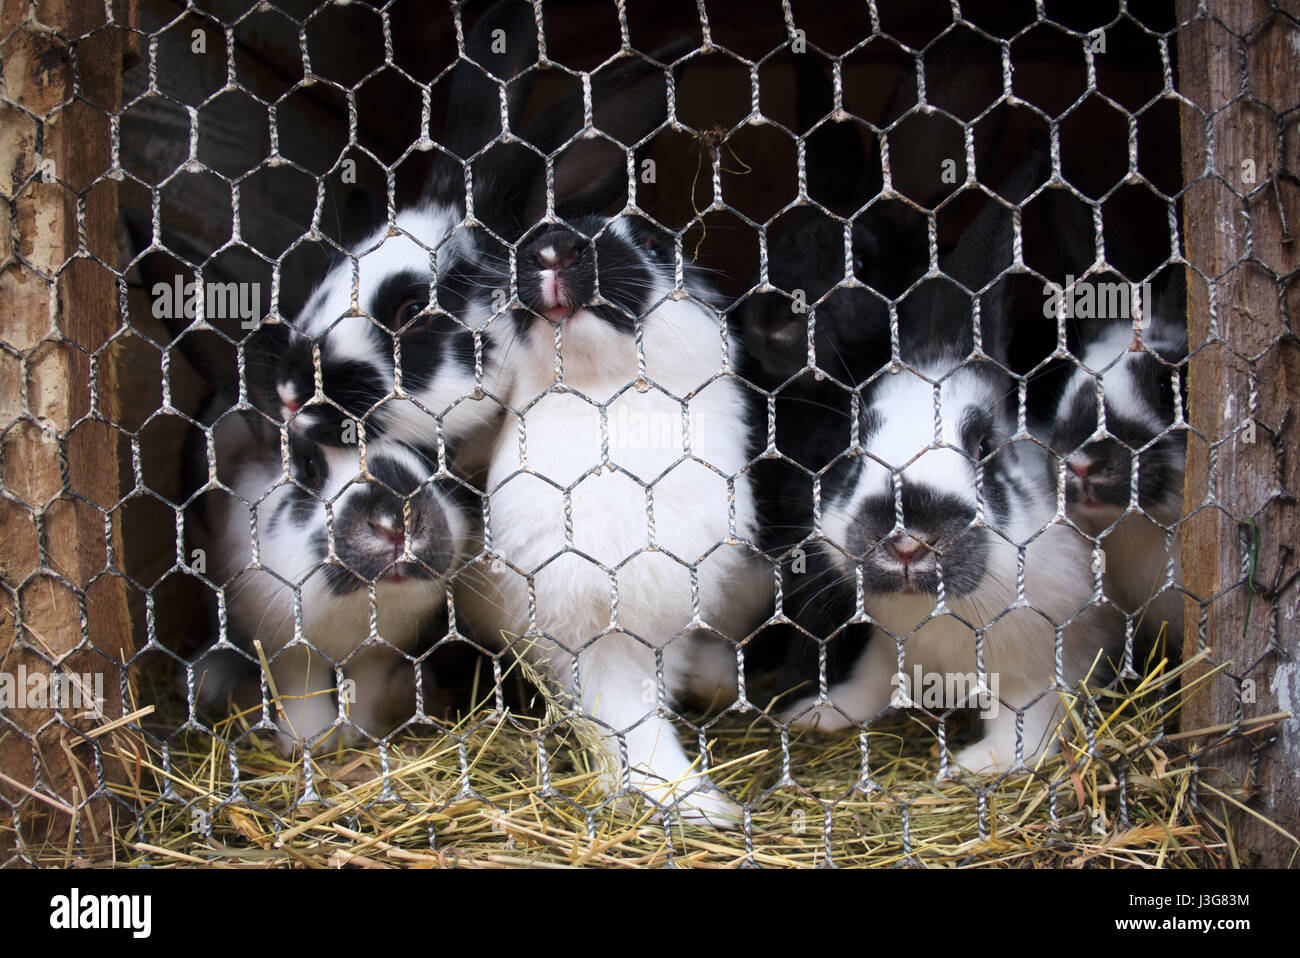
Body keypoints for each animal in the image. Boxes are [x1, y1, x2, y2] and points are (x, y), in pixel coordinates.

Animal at [188, 408, 473, 748]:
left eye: (431, 460)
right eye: (309, 465)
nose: (393, 527)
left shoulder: (377, 655)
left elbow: (364, 686)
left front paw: (355, 733)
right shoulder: (287, 649)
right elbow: (301, 688)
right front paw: (309, 741)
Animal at [454, 44, 769, 821]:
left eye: (653, 241)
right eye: (531, 240)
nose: (554, 249)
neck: (604, 405)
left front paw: (699, 803)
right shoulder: (584, 629)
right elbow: (624, 715)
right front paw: (689, 800)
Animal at [774, 140, 1123, 769]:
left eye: (983, 446)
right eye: (853, 451)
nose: (909, 541)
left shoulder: (1047, 664)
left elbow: (1026, 721)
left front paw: (976, 765)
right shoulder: (886, 649)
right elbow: (871, 683)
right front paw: (817, 715)